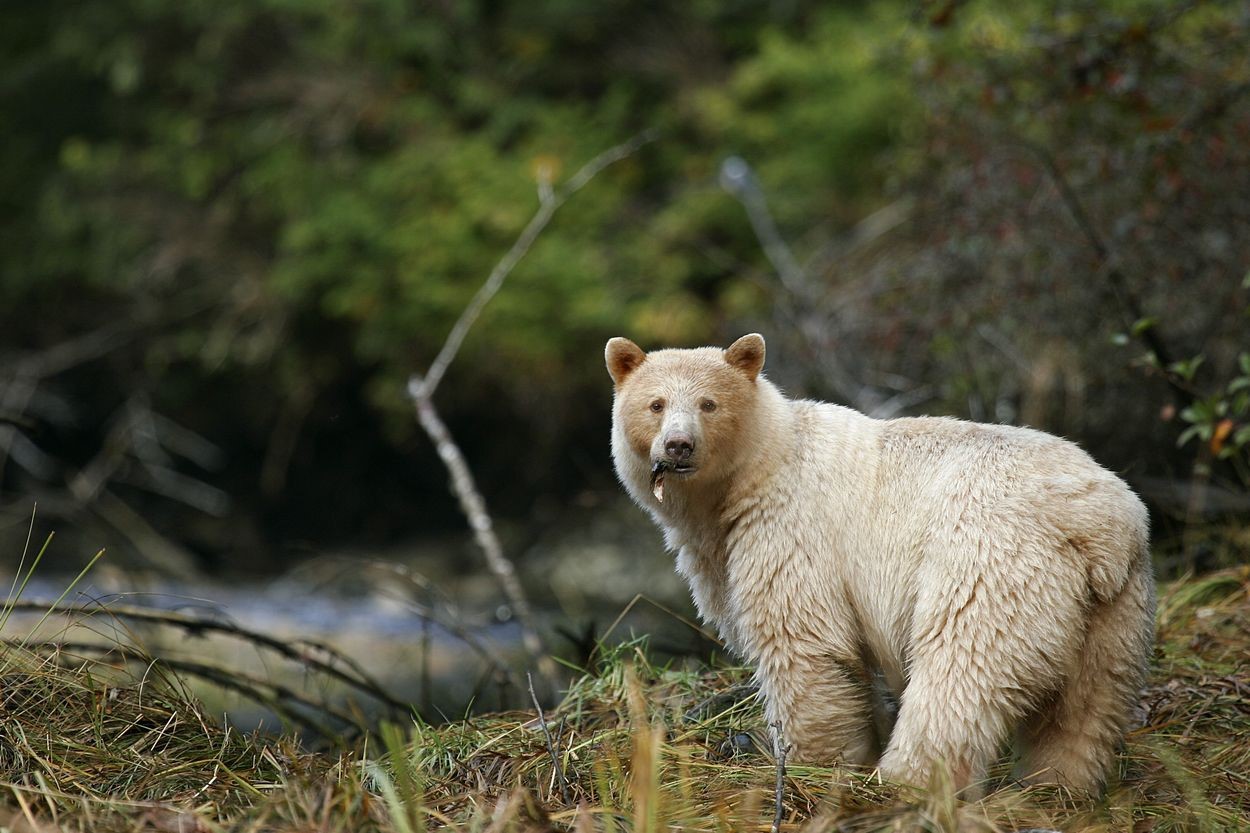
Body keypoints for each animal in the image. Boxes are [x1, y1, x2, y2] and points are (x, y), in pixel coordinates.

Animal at [605, 332, 1150, 790]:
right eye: (656, 404)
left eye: (709, 403)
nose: (678, 445)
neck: (754, 472)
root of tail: (1097, 524)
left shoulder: (792, 526)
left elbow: (803, 643)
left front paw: (810, 765)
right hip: (1114, 605)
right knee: (1087, 703)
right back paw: (1057, 784)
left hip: (991, 563)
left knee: (961, 672)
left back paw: (906, 781)